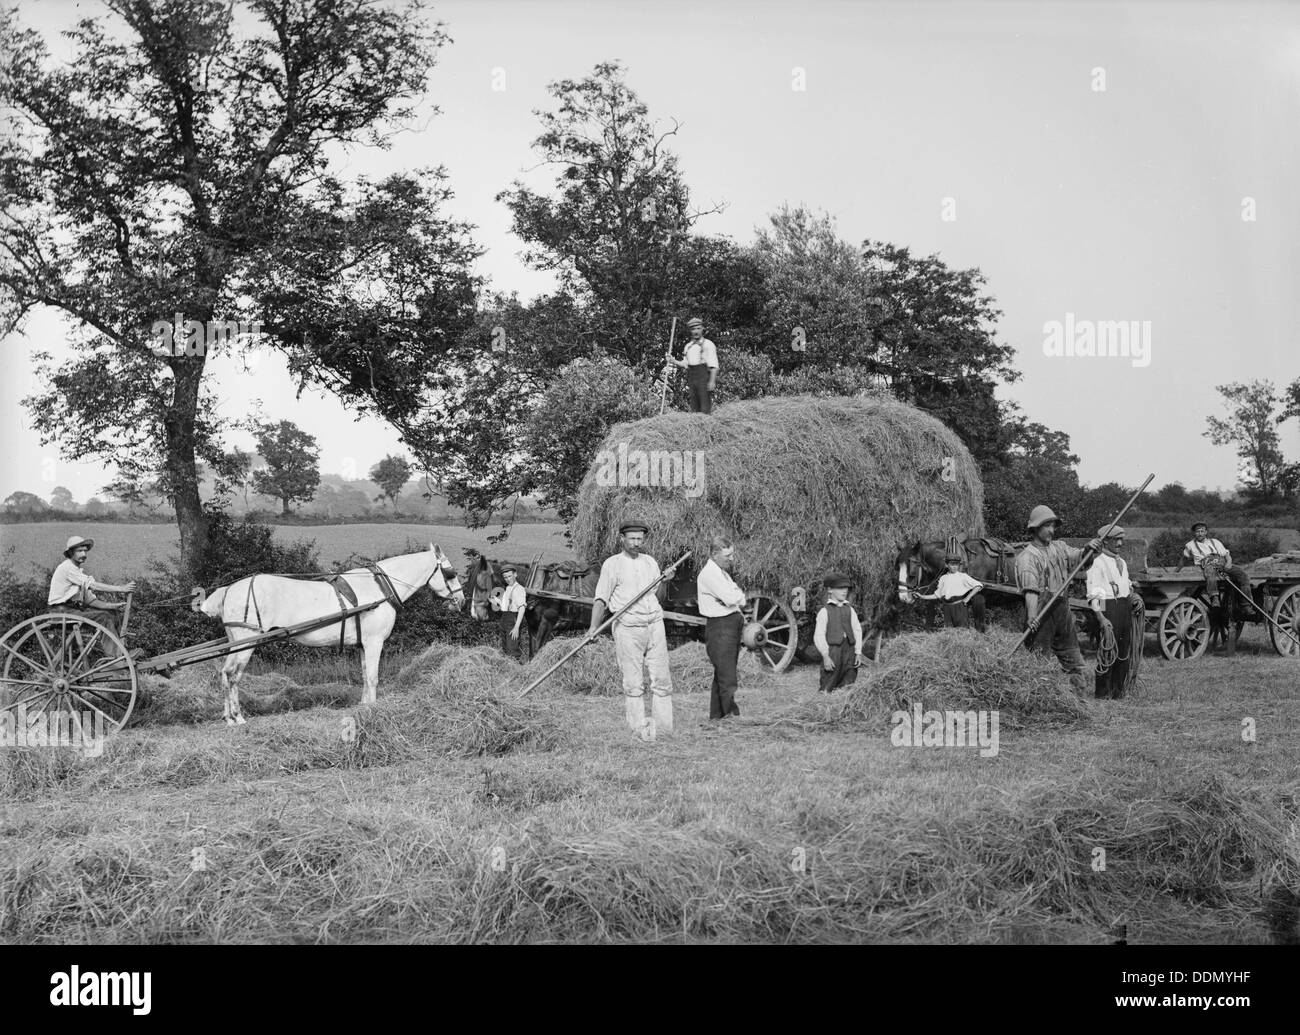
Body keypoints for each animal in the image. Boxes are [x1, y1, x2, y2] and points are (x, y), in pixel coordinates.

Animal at [200, 546, 465, 722]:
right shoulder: (374, 642)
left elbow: (364, 675)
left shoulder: (363, 644)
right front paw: (373, 709)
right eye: (450, 573)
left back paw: (228, 717)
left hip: (236, 641)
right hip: (247, 642)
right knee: (233, 675)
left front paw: (363, 705)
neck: (380, 589)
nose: (461, 600)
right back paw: (238, 717)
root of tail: (229, 589)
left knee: (224, 673)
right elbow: (373, 677)